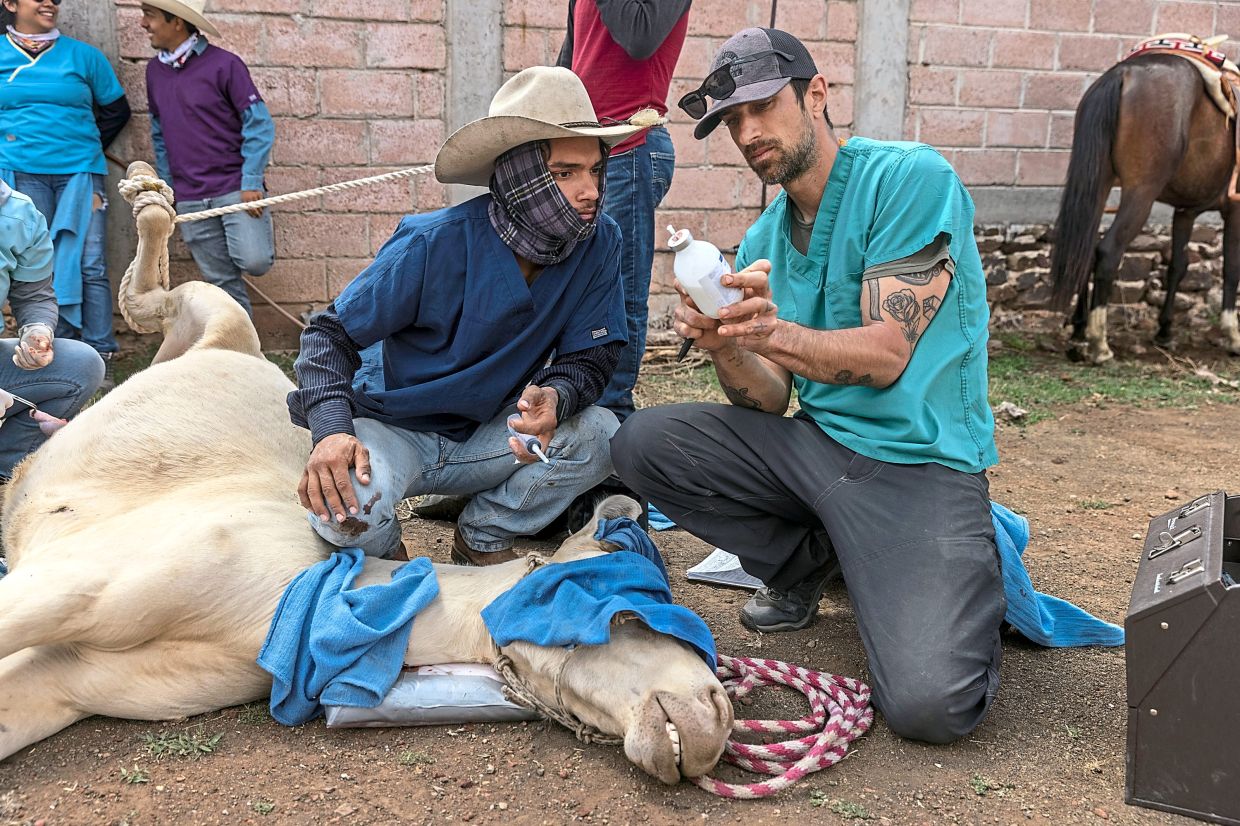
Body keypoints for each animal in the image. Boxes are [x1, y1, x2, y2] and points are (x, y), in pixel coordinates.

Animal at [1046, 51, 1240, 359]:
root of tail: (1123, 73)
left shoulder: (1185, 212)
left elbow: (1178, 266)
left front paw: (1165, 331)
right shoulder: (1235, 210)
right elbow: (1232, 269)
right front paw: (1233, 335)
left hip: (1098, 184)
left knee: (1085, 251)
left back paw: (1079, 332)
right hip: (1141, 193)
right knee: (1108, 251)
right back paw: (1099, 344)